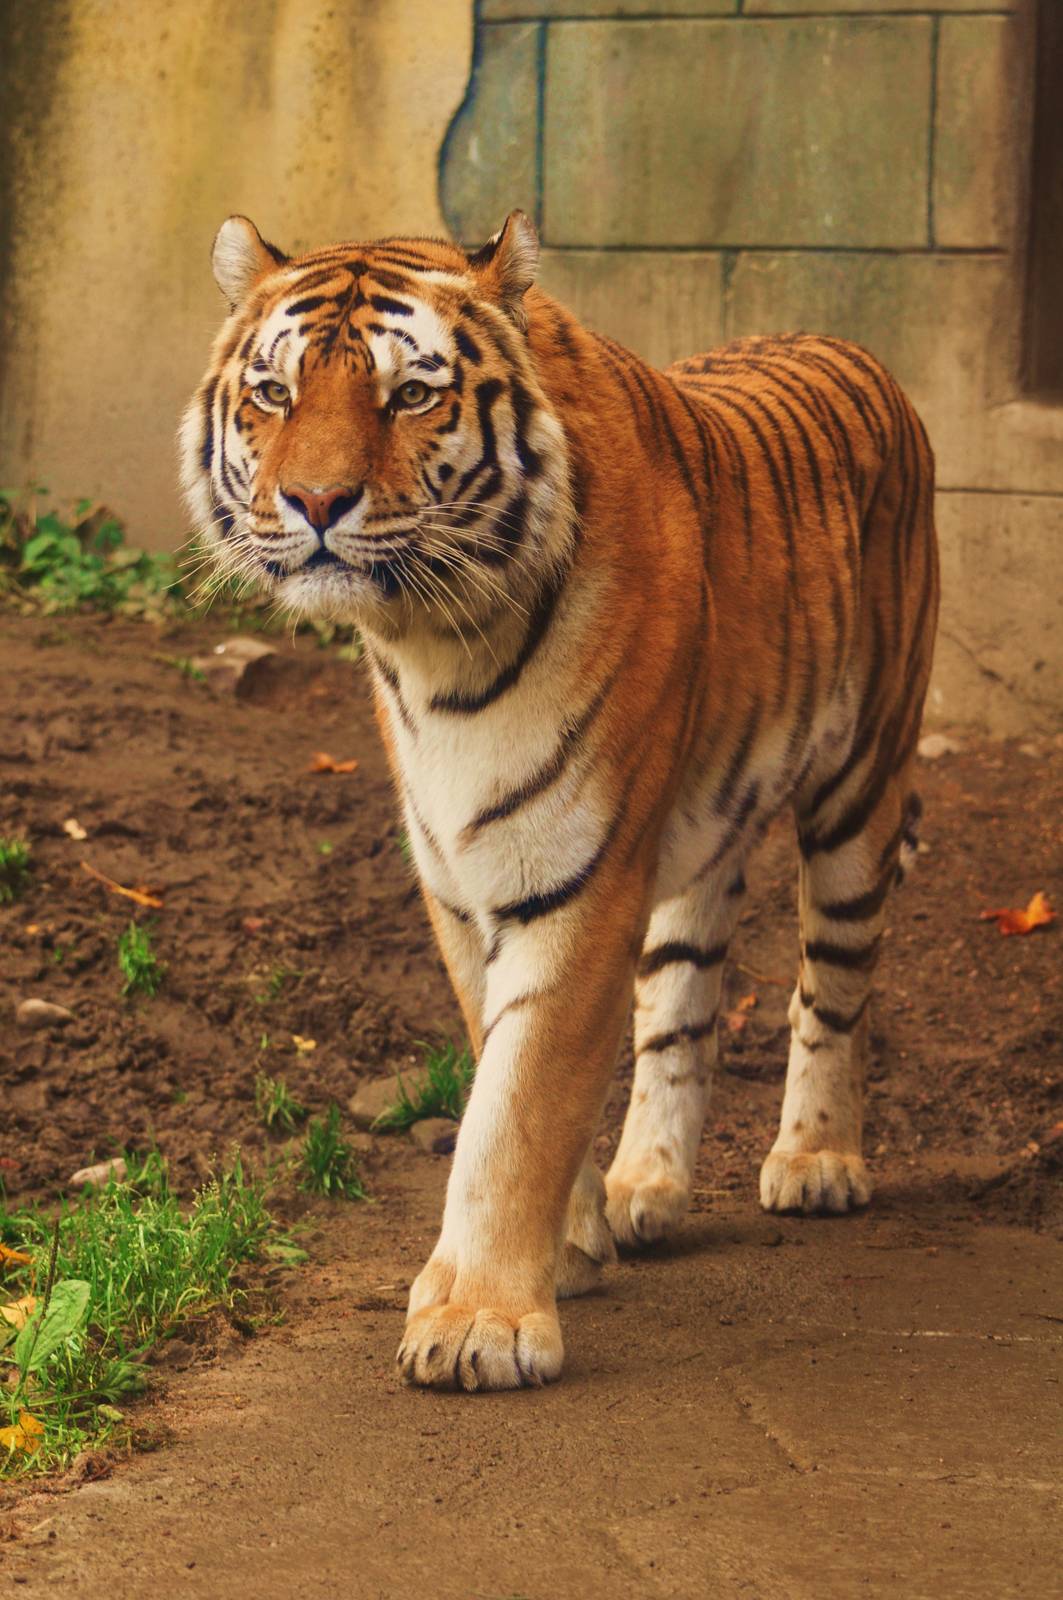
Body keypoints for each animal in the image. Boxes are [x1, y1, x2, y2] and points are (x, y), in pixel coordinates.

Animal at [181, 209, 939, 1393]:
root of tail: (845, 344)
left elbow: (516, 1106)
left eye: (410, 395)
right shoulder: (461, 885)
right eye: (273, 392)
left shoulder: (575, 881)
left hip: (860, 787)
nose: (312, 503)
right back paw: (645, 1188)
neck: (429, 647)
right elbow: (519, 1064)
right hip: (700, 838)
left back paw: (815, 1160)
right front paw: (571, 1246)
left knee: (833, 988)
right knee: (681, 1005)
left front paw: (479, 1321)